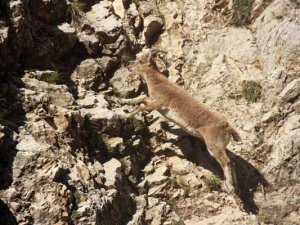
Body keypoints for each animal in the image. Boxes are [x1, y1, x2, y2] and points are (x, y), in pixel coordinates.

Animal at [118, 50, 240, 192]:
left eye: (141, 61)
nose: (129, 66)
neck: (158, 83)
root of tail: (228, 127)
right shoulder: (152, 101)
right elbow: (140, 98)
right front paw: (123, 101)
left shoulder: (157, 104)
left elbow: (141, 106)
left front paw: (125, 115)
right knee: (232, 162)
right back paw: (235, 185)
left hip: (214, 145)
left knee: (226, 162)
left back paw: (230, 187)